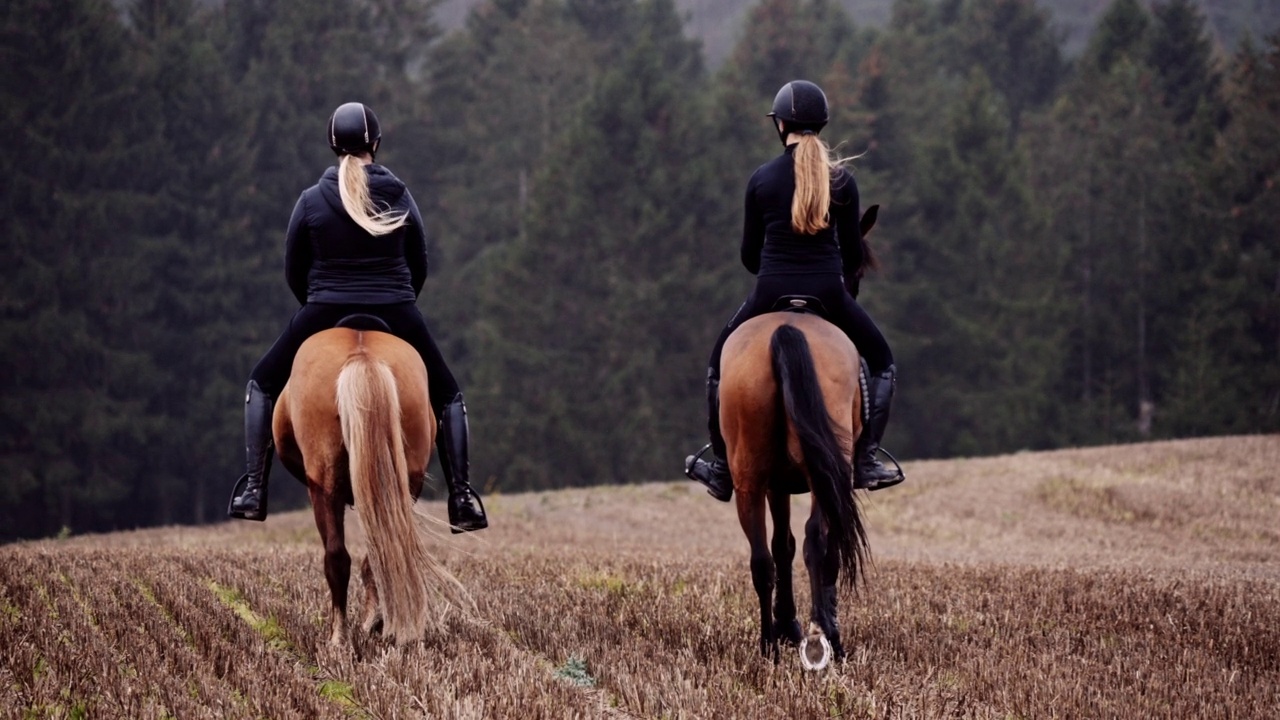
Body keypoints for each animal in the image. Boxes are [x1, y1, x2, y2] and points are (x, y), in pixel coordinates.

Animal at [272, 320, 463, 645]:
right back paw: (374, 622)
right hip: (405, 481)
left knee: (336, 557)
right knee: (380, 553)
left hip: (324, 484)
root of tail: (363, 356)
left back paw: (339, 636)